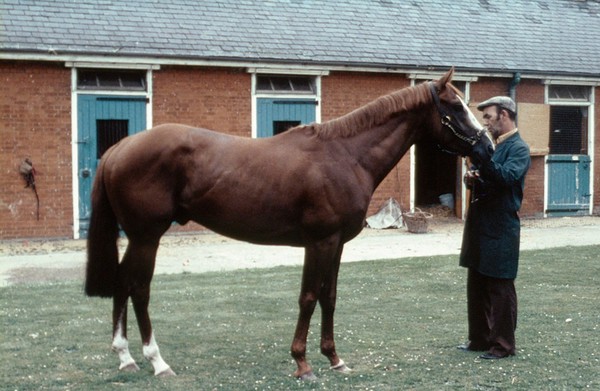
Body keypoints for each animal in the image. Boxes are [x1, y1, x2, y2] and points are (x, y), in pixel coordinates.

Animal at [86, 69, 494, 382]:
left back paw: (125, 357)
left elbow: (329, 297)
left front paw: (335, 359)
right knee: (138, 288)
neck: (346, 156)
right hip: (146, 236)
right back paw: (157, 362)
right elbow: (309, 297)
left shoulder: (337, 243)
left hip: (138, 238)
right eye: (455, 106)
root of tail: (118, 150)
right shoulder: (319, 242)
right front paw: (303, 363)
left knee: (123, 283)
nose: (487, 148)